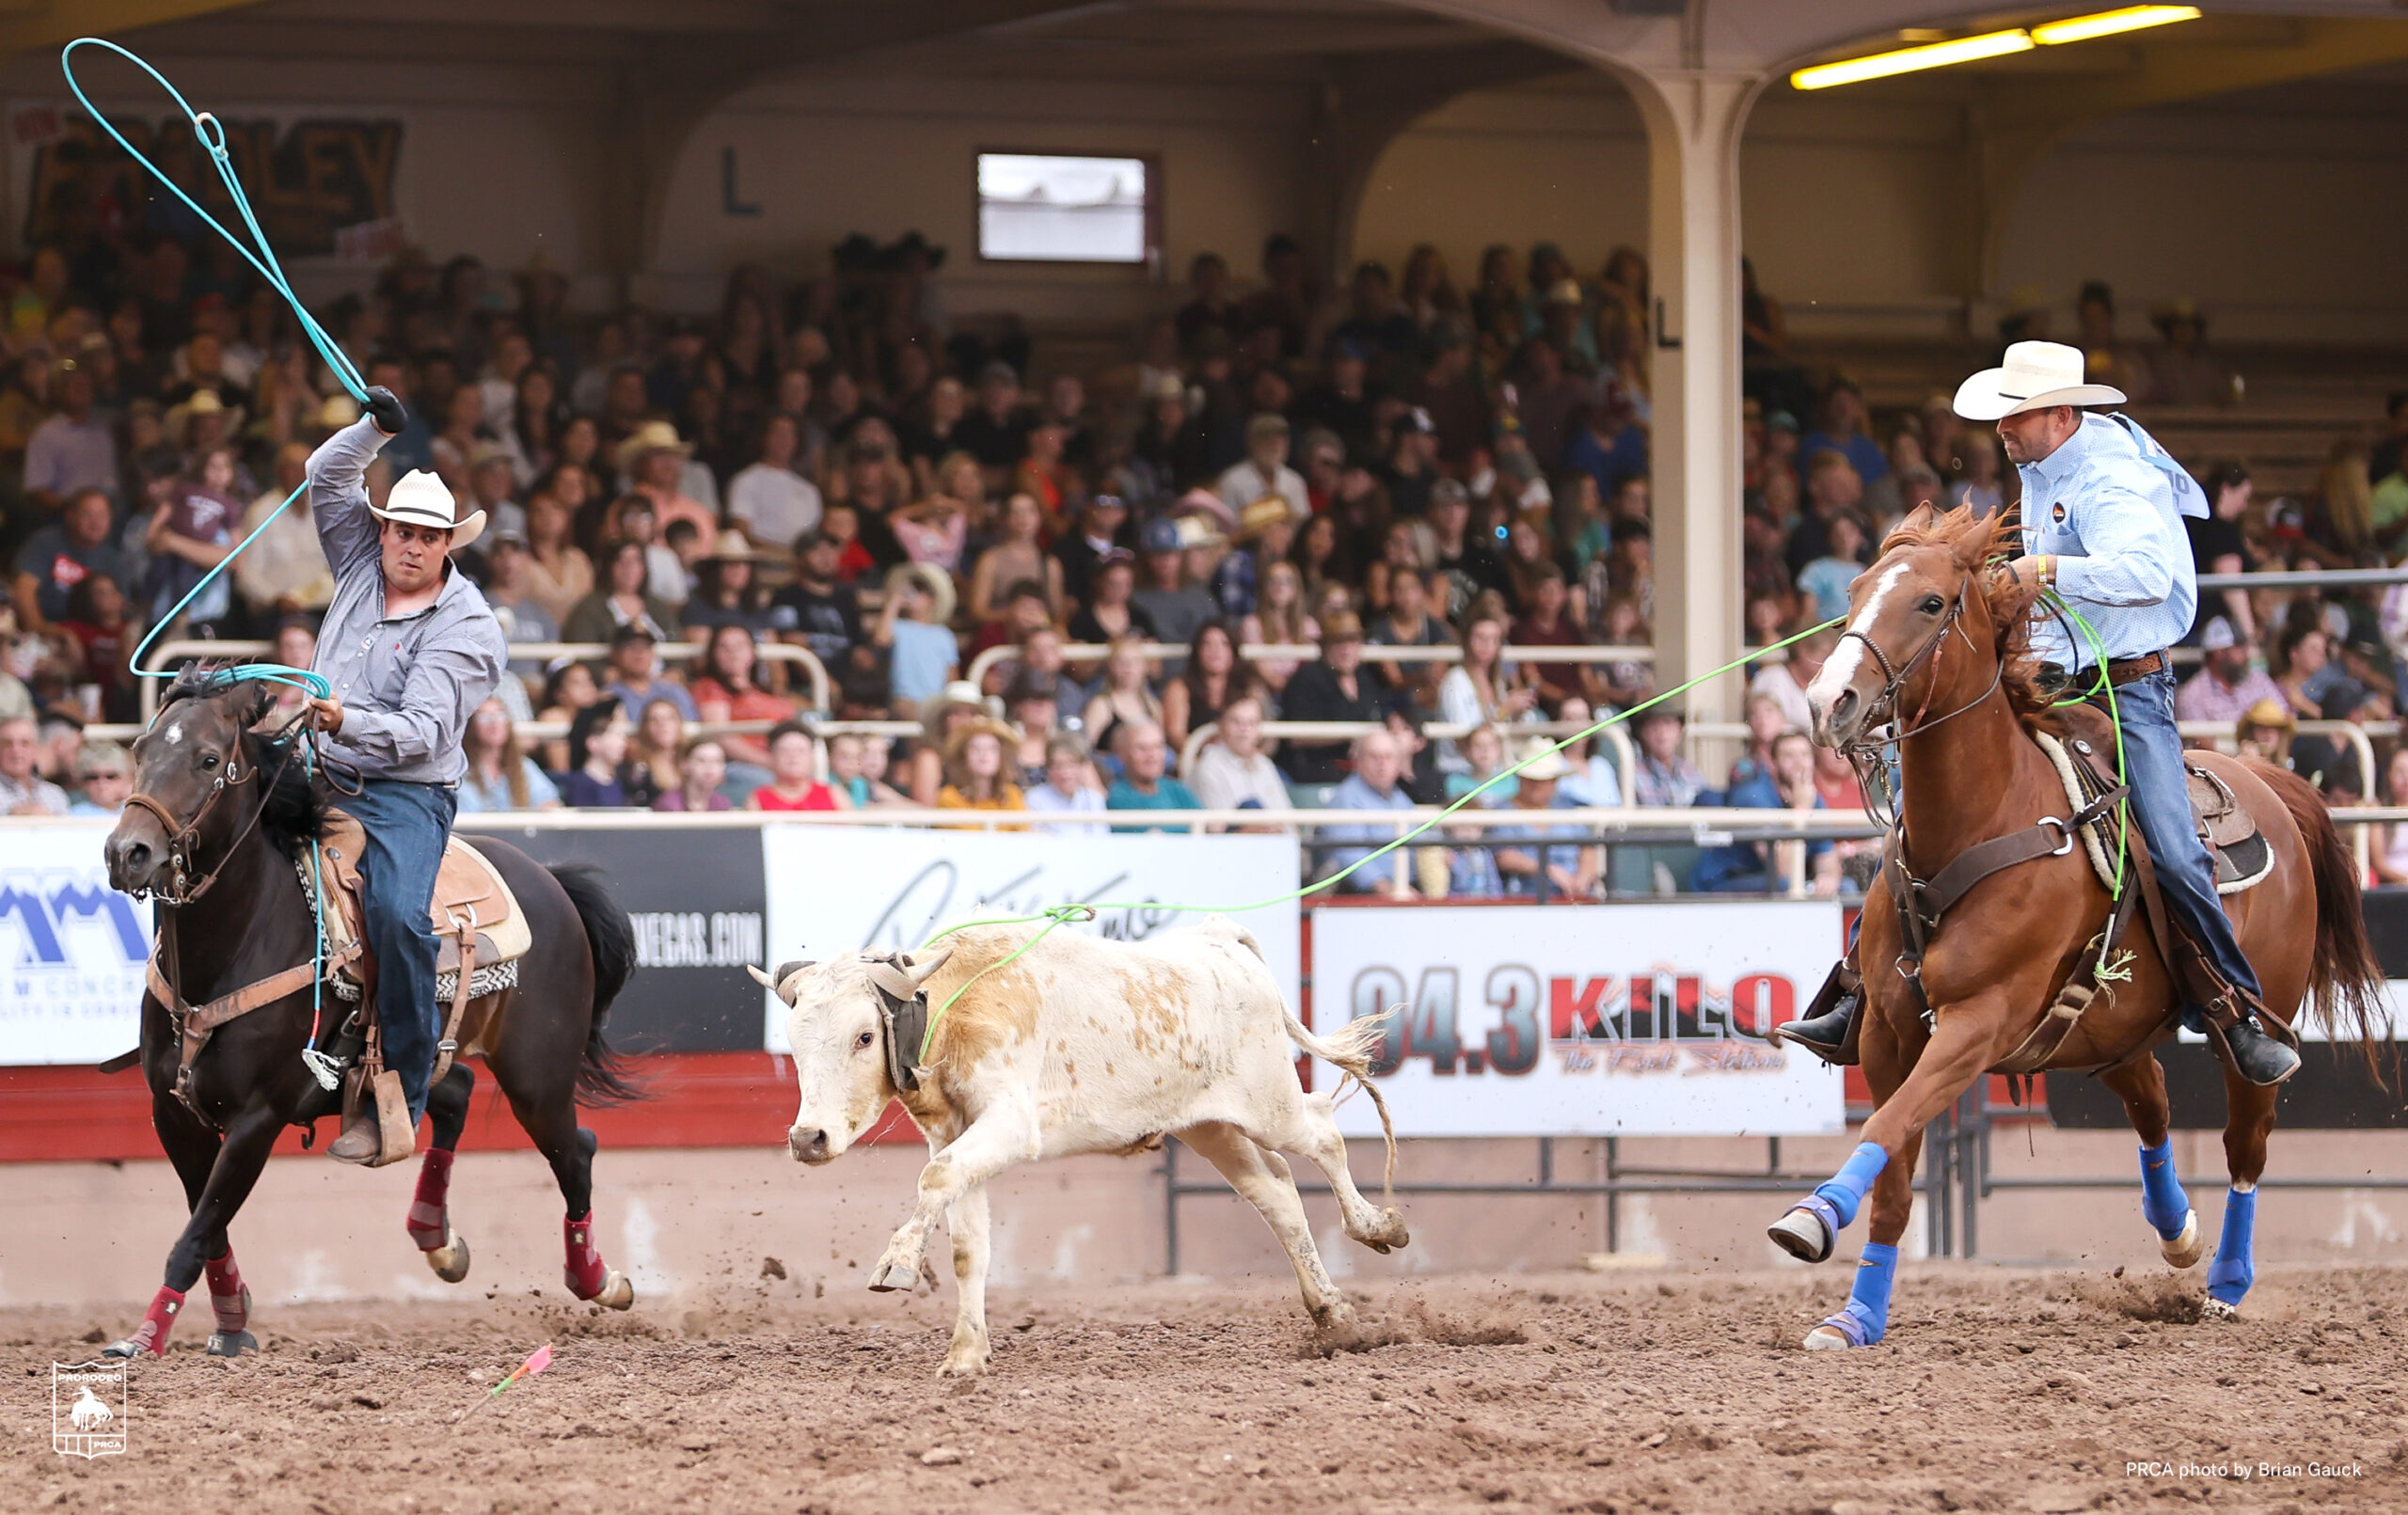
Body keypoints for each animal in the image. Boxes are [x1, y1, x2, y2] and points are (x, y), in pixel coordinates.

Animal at [98, 674, 645, 1358]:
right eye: (140, 748)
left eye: (206, 759)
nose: (128, 852)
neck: (238, 942)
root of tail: (550, 881)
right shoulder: (171, 1109)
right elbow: (209, 1225)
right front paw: (231, 1319)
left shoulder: (258, 1118)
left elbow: (197, 1232)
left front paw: (145, 1335)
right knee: (456, 1094)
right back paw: (437, 1236)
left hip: (538, 1079)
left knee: (575, 1151)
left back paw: (598, 1279)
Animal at [1762, 508, 2379, 1349]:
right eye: (1854, 592)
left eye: (1931, 602)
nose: (1830, 701)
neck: (1980, 822)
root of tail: (2266, 778)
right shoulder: (1889, 1032)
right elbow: (1892, 1161)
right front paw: (1855, 1314)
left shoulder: (1976, 1024)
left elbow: (1886, 1124)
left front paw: (1813, 1216)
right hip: (2100, 1026)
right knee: (2152, 1100)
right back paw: (2177, 1232)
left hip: (2252, 1022)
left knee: (2245, 1144)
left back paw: (2225, 1282)